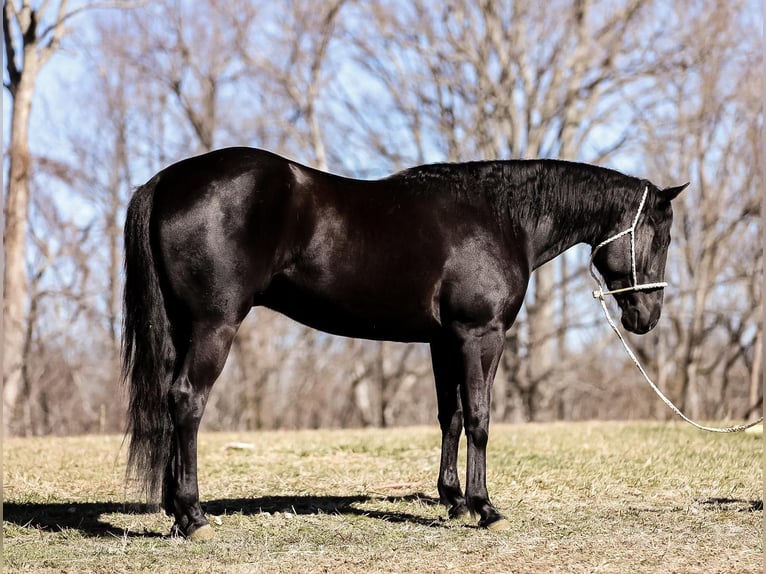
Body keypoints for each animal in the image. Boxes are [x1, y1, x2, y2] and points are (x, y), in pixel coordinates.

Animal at [123, 147, 688, 540]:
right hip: (214, 325)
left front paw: (454, 500)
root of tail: (166, 181)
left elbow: (450, 417)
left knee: (173, 402)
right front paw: (485, 508)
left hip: (184, 328)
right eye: (659, 237)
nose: (647, 318)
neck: (501, 217)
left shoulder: (444, 341)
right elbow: (479, 417)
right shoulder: (481, 335)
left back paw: (177, 513)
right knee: (187, 401)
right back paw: (194, 516)